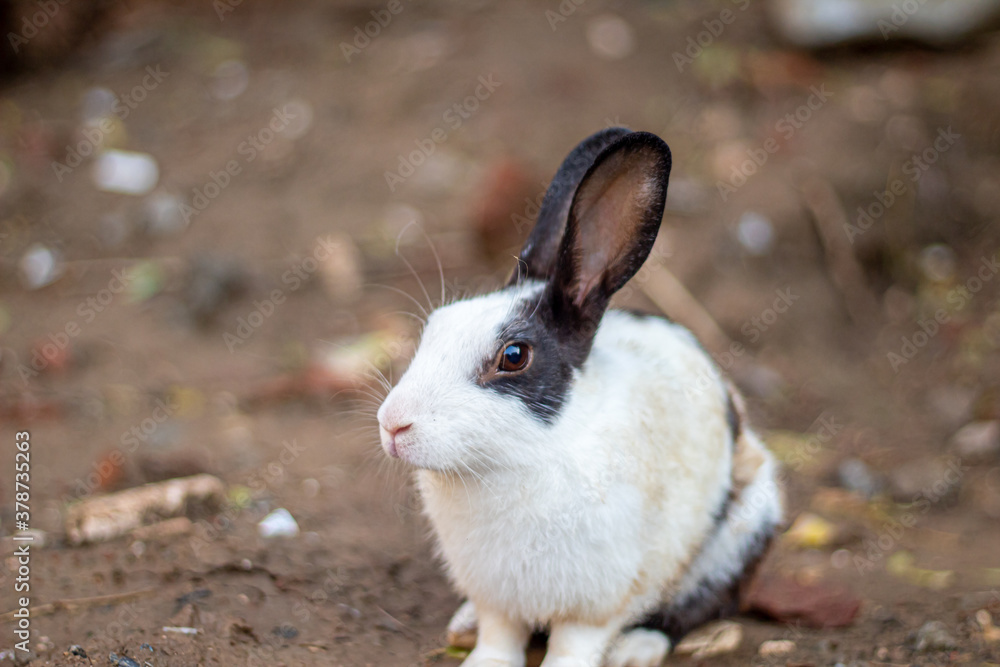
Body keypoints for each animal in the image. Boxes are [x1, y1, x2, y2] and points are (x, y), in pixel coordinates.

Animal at [377, 128, 783, 667]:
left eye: (513, 356)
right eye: (436, 325)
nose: (392, 424)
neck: (522, 458)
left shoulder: (598, 602)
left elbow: (574, 644)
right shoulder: (497, 599)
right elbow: (499, 635)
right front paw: (481, 659)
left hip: (740, 534)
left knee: (701, 604)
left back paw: (636, 649)